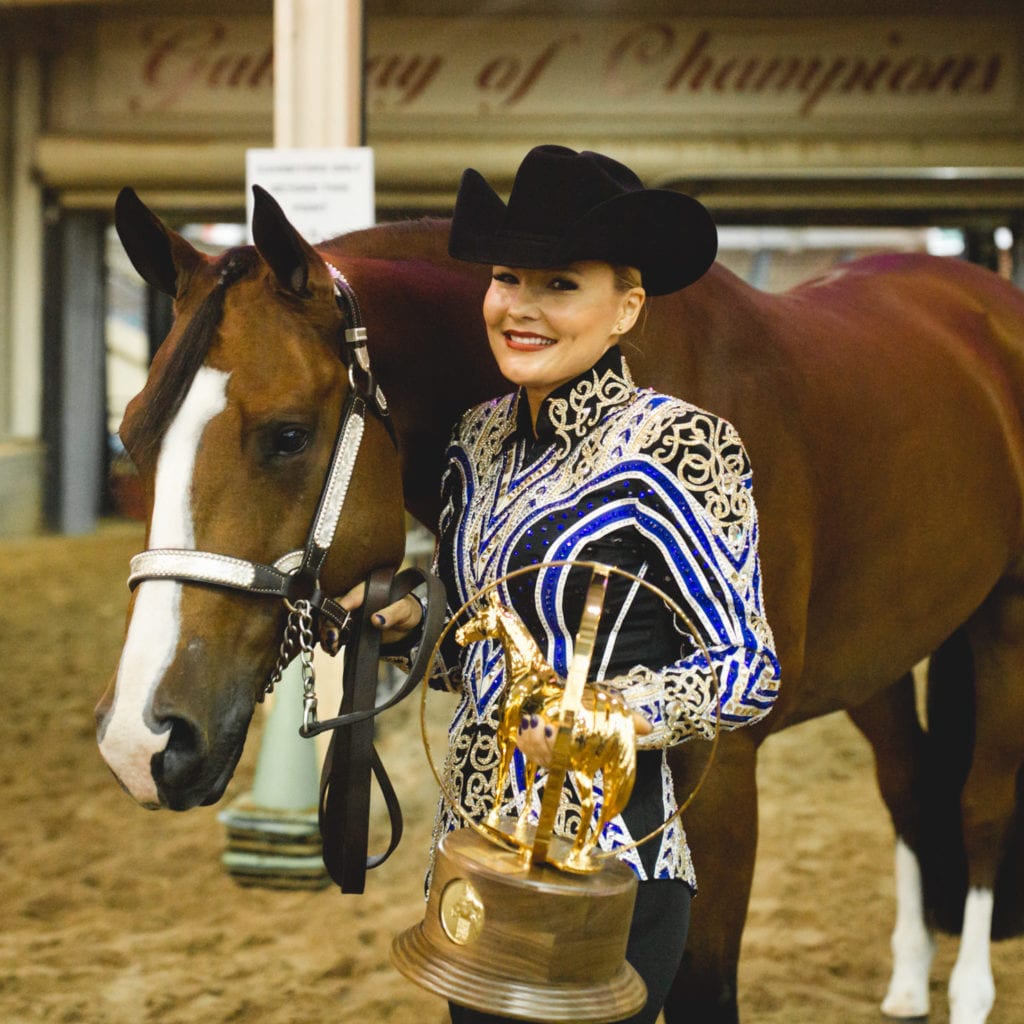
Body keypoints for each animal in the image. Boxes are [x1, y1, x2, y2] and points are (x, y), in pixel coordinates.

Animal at [96, 186, 1024, 1024]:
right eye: (132, 434)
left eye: (286, 435)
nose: (140, 740)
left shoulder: (720, 779)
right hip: (882, 653)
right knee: (909, 784)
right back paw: (909, 982)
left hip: (1002, 624)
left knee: (981, 802)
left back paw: (971, 995)